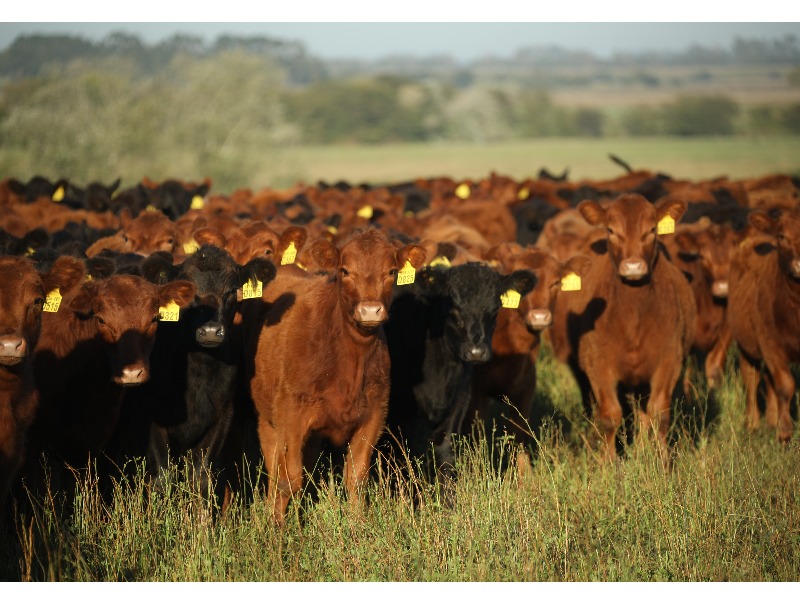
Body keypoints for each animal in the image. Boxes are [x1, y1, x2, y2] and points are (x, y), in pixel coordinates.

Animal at [244, 227, 428, 524]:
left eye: (391, 271)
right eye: (345, 270)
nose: (370, 311)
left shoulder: (373, 415)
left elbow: (356, 477)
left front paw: (358, 526)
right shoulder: (291, 416)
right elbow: (287, 480)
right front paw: (278, 532)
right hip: (268, 419)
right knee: (275, 470)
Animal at [382, 262, 536, 482]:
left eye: (495, 309)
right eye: (453, 309)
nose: (477, 352)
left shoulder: (459, 401)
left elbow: (445, 459)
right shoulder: (397, 413)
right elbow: (401, 462)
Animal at [552, 193, 692, 464]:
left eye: (652, 229)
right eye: (611, 230)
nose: (633, 266)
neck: (632, 316)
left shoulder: (669, 361)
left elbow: (659, 414)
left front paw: (662, 461)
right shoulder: (598, 365)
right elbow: (610, 415)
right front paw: (608, 463)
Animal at [728, 209, 800, 442]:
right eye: (781, 236)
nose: (799, 265)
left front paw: (779, 425)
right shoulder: (770, 343)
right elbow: (786, 385)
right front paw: (785, 433)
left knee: (769, 380)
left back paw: (771, 420)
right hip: (745, 342)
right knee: (752, 377)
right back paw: (753, 424)